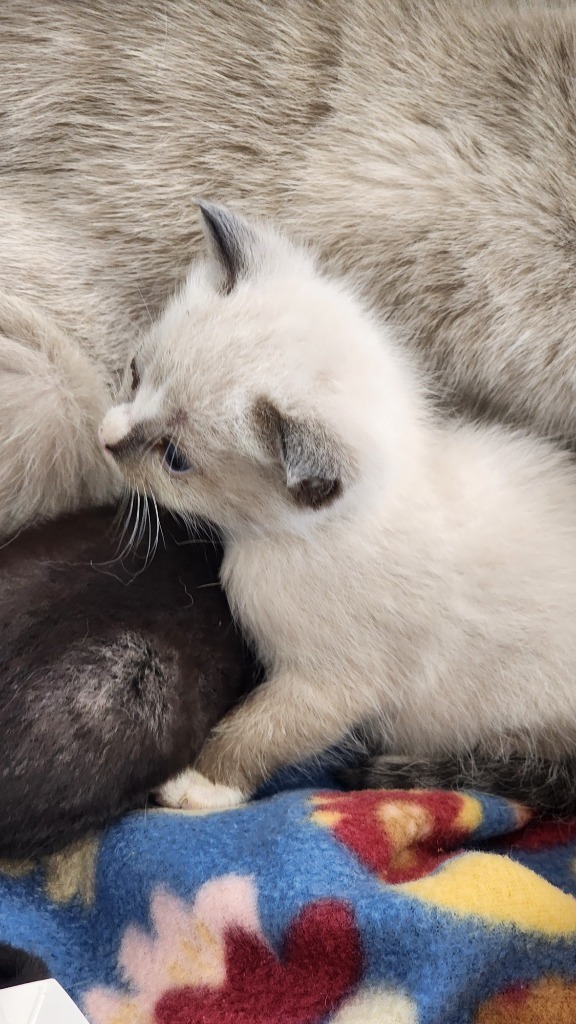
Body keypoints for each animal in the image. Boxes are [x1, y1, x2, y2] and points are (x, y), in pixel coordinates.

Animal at [99, 205, 576, 815]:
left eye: (174, 458)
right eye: (136, 375)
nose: (106, 438)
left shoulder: (330, 683)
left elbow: (264, 727)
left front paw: (201, 784)